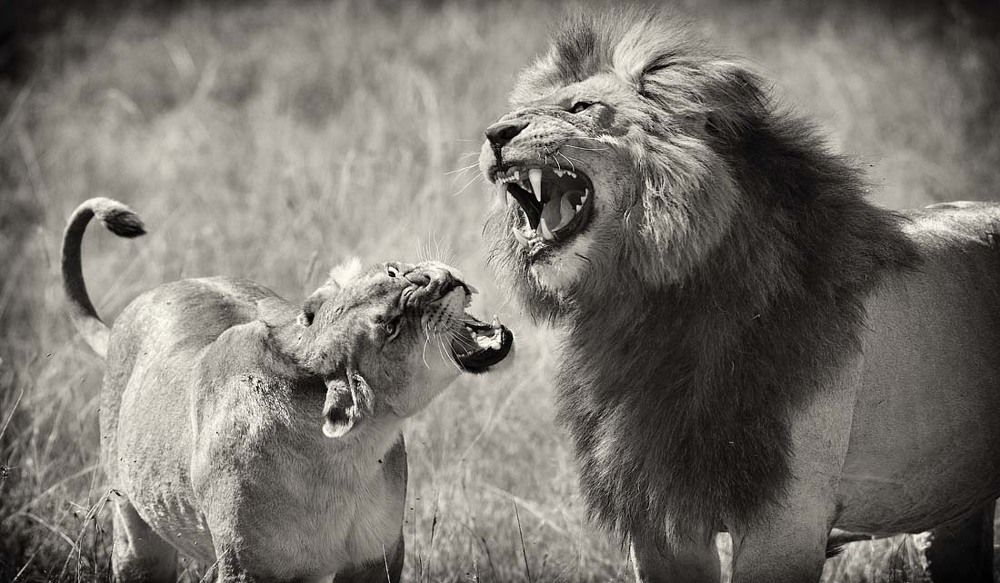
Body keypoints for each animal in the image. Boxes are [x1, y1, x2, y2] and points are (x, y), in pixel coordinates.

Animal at [61, 198, 513, 582]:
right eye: (391, 326)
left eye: (393, 271)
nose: (439, 279)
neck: (349, 458)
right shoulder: (247, 568)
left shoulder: (377, 558)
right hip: (136, 534)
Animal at [478, 10, 1000, 583]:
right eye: (516, 116)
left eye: (582, 108)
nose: (495, 133)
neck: (646, 310)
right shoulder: (659, 519)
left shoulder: (788, 516)